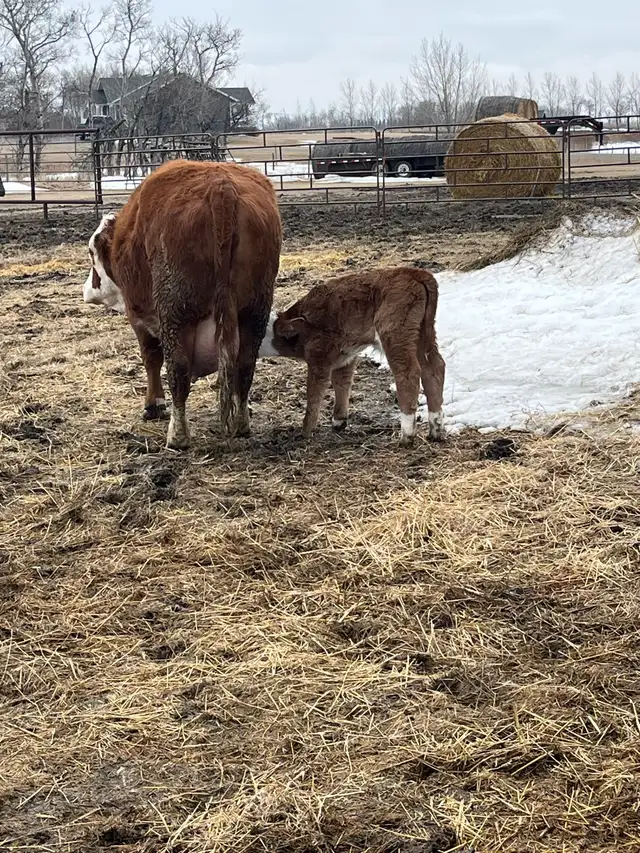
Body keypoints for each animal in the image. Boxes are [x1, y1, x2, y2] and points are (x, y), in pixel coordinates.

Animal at [83, 159, 282, 450]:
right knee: (244, 366)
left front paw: (154, 405)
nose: (86, 289)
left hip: (176, 312)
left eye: (91, 253)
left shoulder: (139, 317)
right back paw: (241, 424)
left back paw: (177, 436)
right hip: (254, 311)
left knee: (177, 368)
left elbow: (151, 358)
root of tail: (221, 186)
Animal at [258, 267, 445, 446]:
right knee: (434, 368)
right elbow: (341, 382)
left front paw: (306, 430)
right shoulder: (346, 356)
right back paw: (436, 429)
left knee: (408, 372)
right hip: (423, 331)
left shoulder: (319, 356)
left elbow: (314, 392)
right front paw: (339, 420)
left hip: (395, 331)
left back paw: (407, 435)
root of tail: (416, 273)